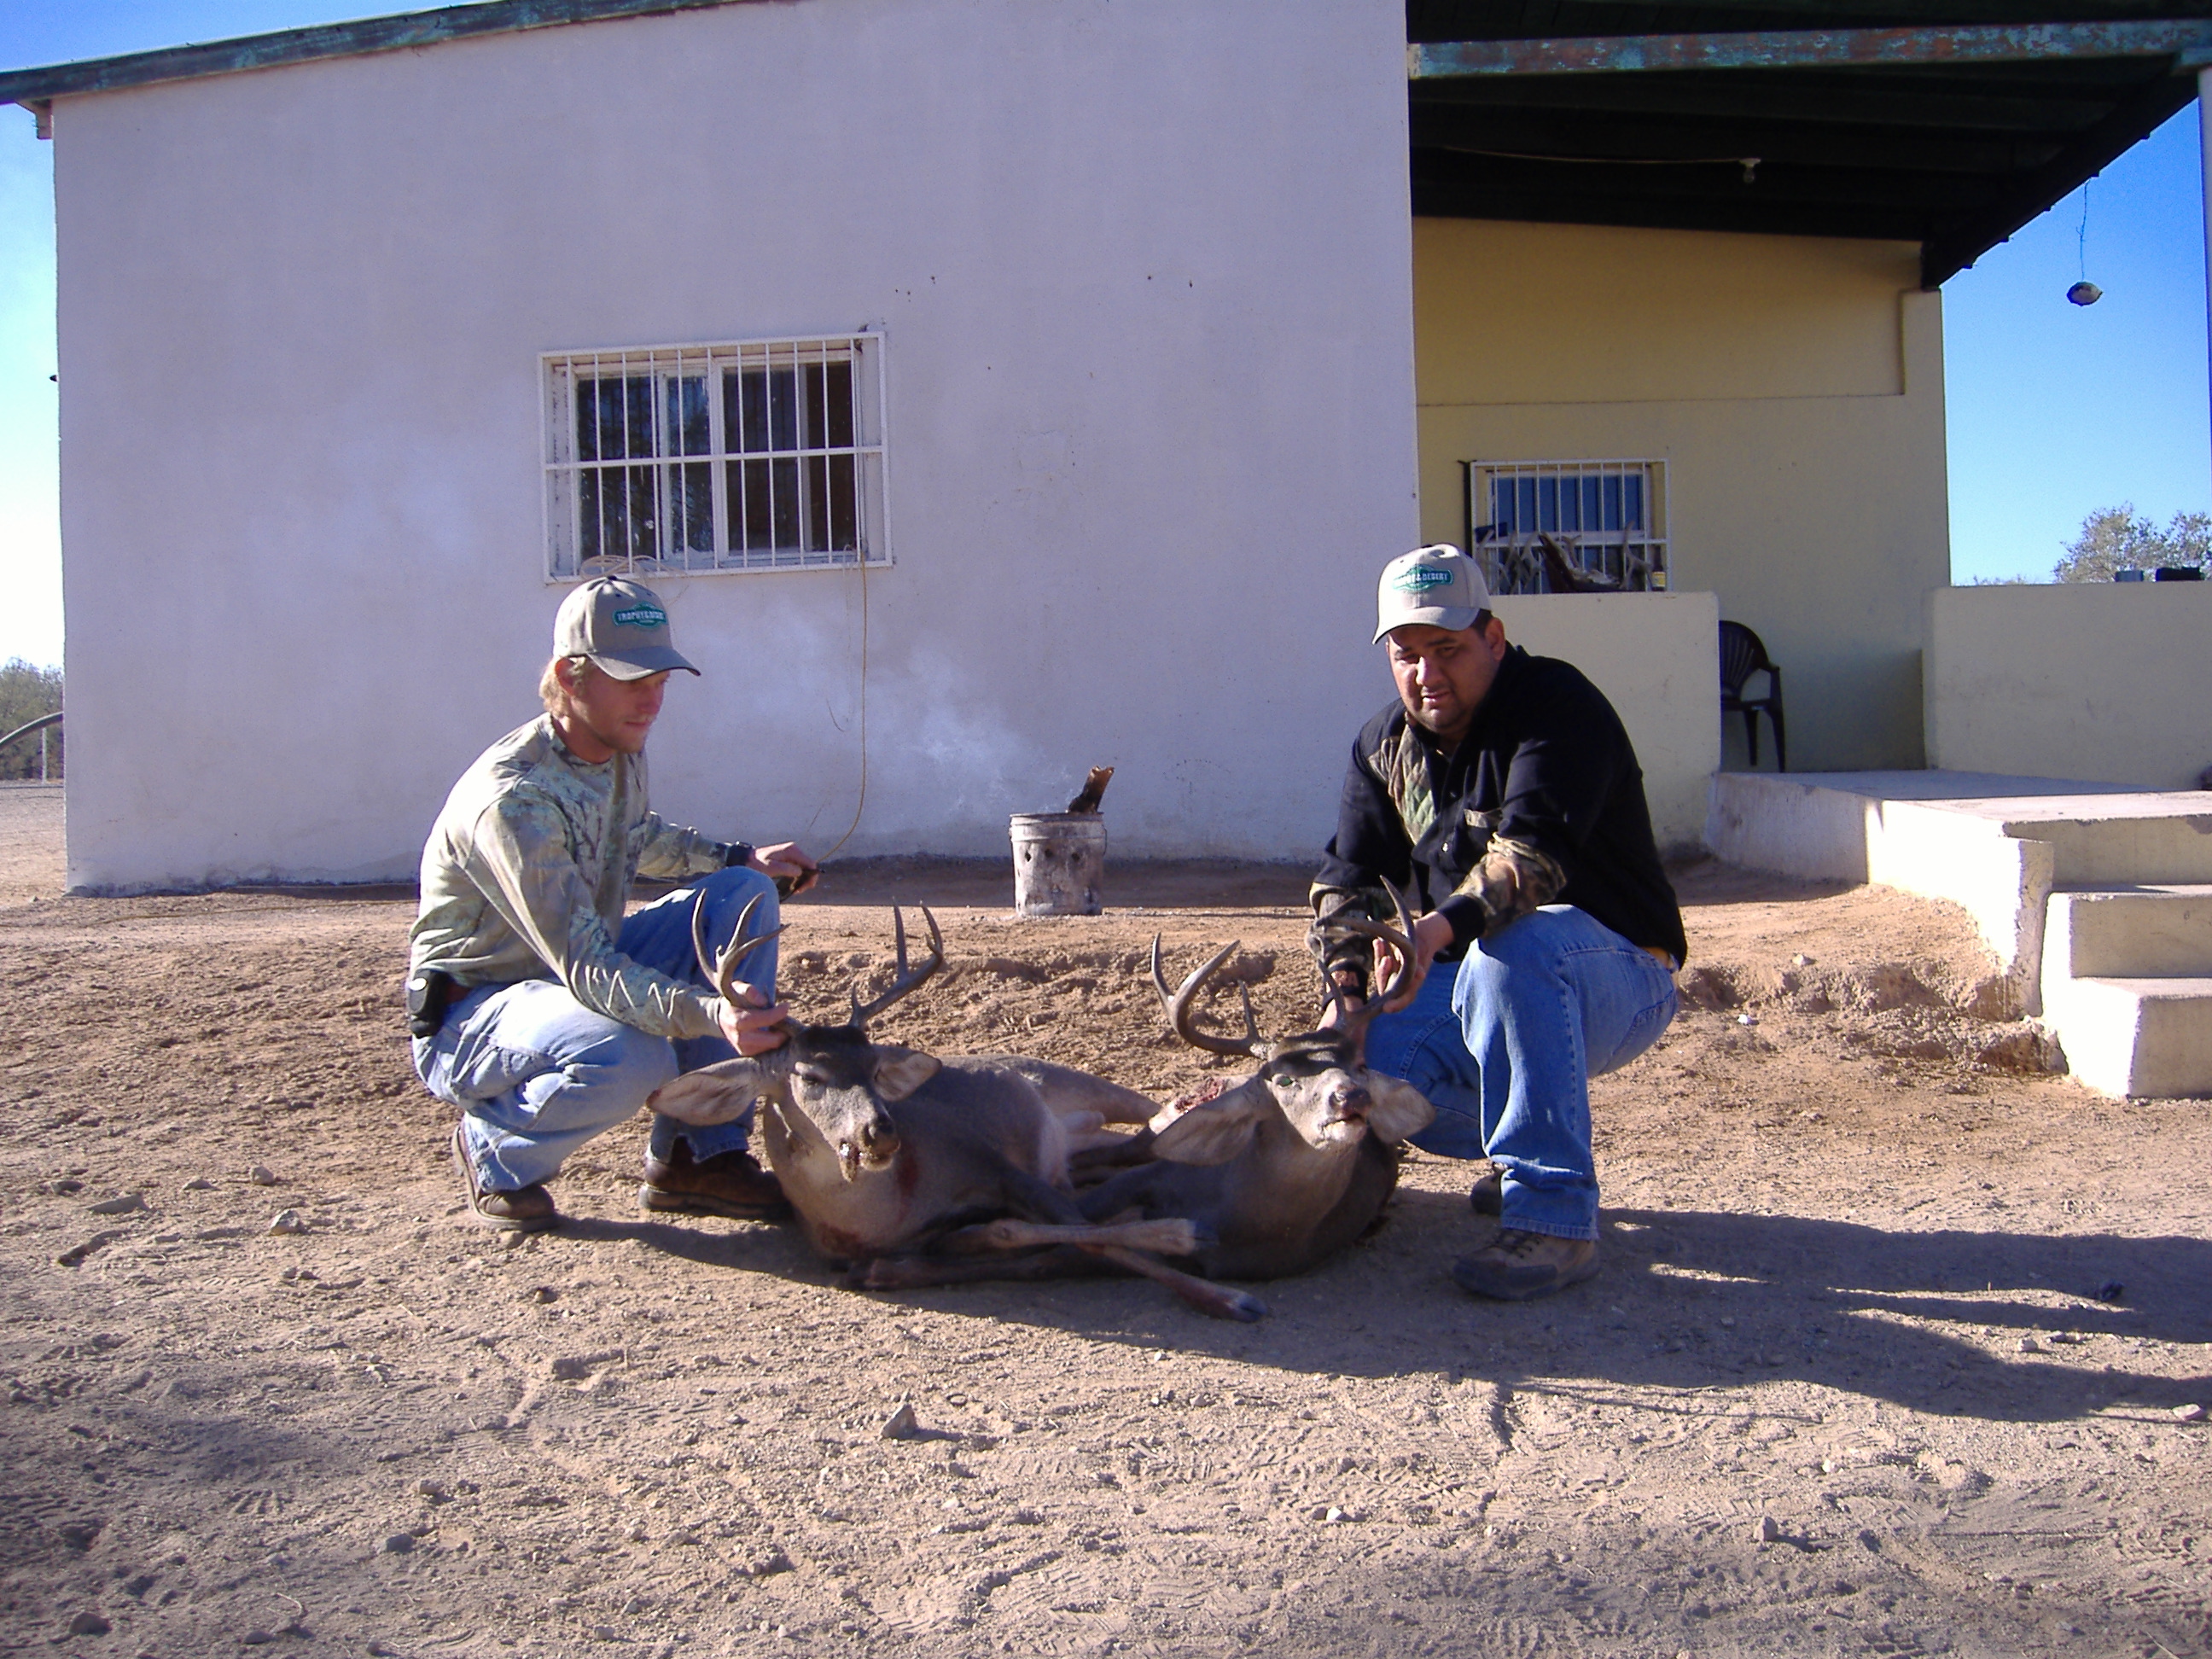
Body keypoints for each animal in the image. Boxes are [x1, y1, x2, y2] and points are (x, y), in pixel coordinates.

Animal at [641, 902, 1265, 1318]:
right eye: (809, 1076)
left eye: (874, 1068)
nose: (881, 1132)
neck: (882, 1208)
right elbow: (1019, 1235)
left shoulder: (994, 1162)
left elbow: (1086, 1230)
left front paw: (1221, 1284)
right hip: (1084, 1141)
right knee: (1129, 1145)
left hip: (1081, 1082)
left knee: (1150, 1118)